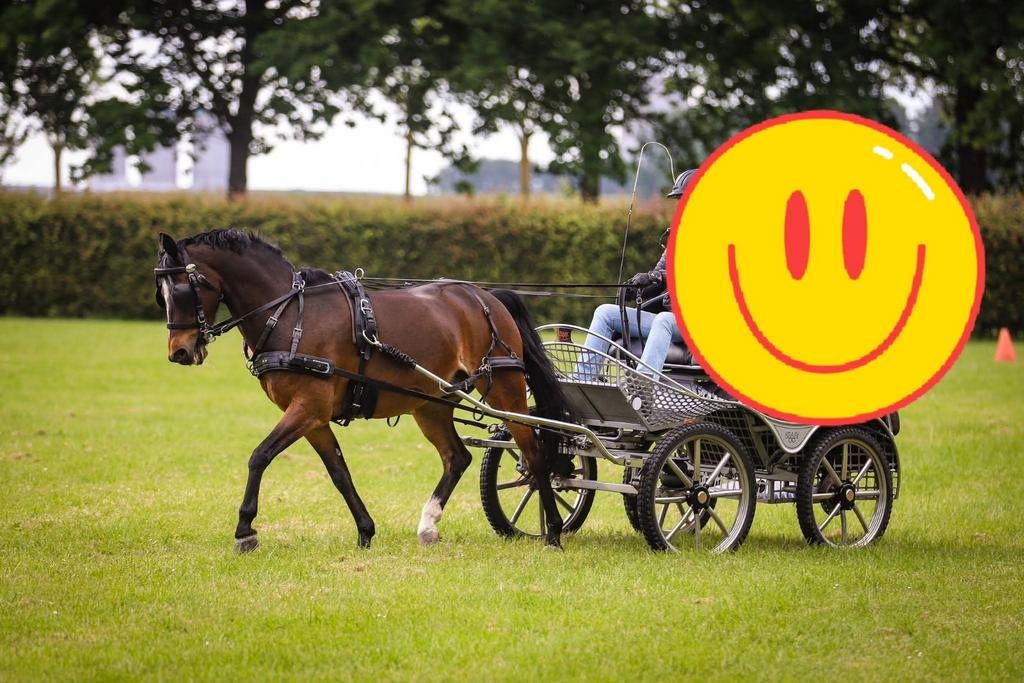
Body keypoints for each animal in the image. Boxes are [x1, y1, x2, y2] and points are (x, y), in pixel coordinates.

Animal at [153, 229, 574, 551]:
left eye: (182, 289)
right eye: (161, 293)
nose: (179, 352)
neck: (291, 315)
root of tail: (485, 297)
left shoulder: (307, 407)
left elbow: (260, 456)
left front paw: (245, 531)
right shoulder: (313, 416)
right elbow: (339, 472)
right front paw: (365, 531)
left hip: (504, 389)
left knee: (535, 454)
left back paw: (553, 531)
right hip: (431, 404)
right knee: (457, 458)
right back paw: (428, 525)